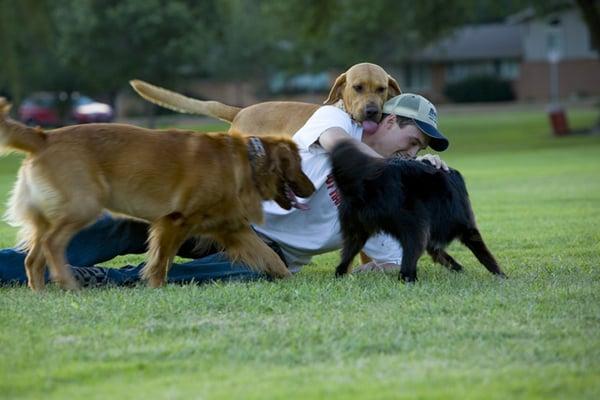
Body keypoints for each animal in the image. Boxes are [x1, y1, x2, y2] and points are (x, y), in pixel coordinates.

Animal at [0, 97, 316, 290]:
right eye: (299, 165)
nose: (314, 188)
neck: (246, 161)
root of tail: (43, 137)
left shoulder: (232, 230)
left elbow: (270, 257)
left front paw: (290, 280)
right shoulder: (174, 221)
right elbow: (162, 261)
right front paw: (157, 287)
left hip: (49, 217)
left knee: (32, 258)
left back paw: (42, 290)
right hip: (83, 207)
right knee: (52, 245)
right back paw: (68, 283)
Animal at [328, 140, 506, 282]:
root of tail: (370, 182)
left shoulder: (433, 242)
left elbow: (442, 255)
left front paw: (458, 268)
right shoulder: (467, 228)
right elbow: (485, 255)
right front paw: (501, 275)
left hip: (356, 234)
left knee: (343, 263)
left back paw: (341, 277)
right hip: (416, 229)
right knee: (406, 269)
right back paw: (410, 280)